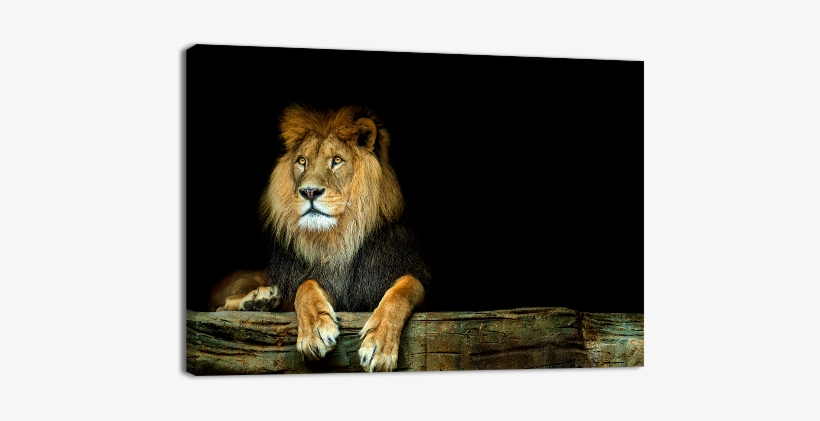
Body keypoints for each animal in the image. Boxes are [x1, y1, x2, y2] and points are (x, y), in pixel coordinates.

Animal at [208, 104, 431, 372]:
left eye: (337, 161)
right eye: (302, 161)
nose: (310, 191)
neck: (341, 237)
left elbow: (405, 289)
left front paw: (379, 345)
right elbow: (305, 286)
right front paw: (314, 332)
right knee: (222, 306)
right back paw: (259, 300)